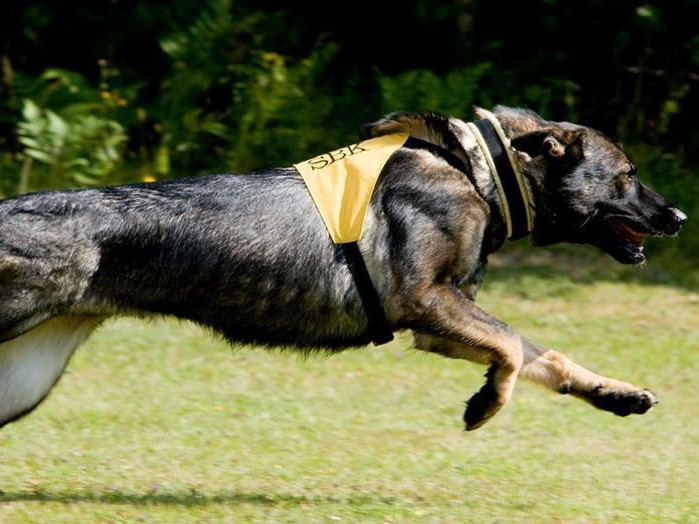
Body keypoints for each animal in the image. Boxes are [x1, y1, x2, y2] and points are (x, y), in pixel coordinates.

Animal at [0, 106, 687, 431]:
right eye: (627, 175)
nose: (679, 216)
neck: (479, 173)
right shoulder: (426, 302)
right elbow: (514, 353)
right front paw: (486, 404)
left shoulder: (440, 325)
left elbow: (546, 356)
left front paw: (616, 394)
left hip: (25, 379)